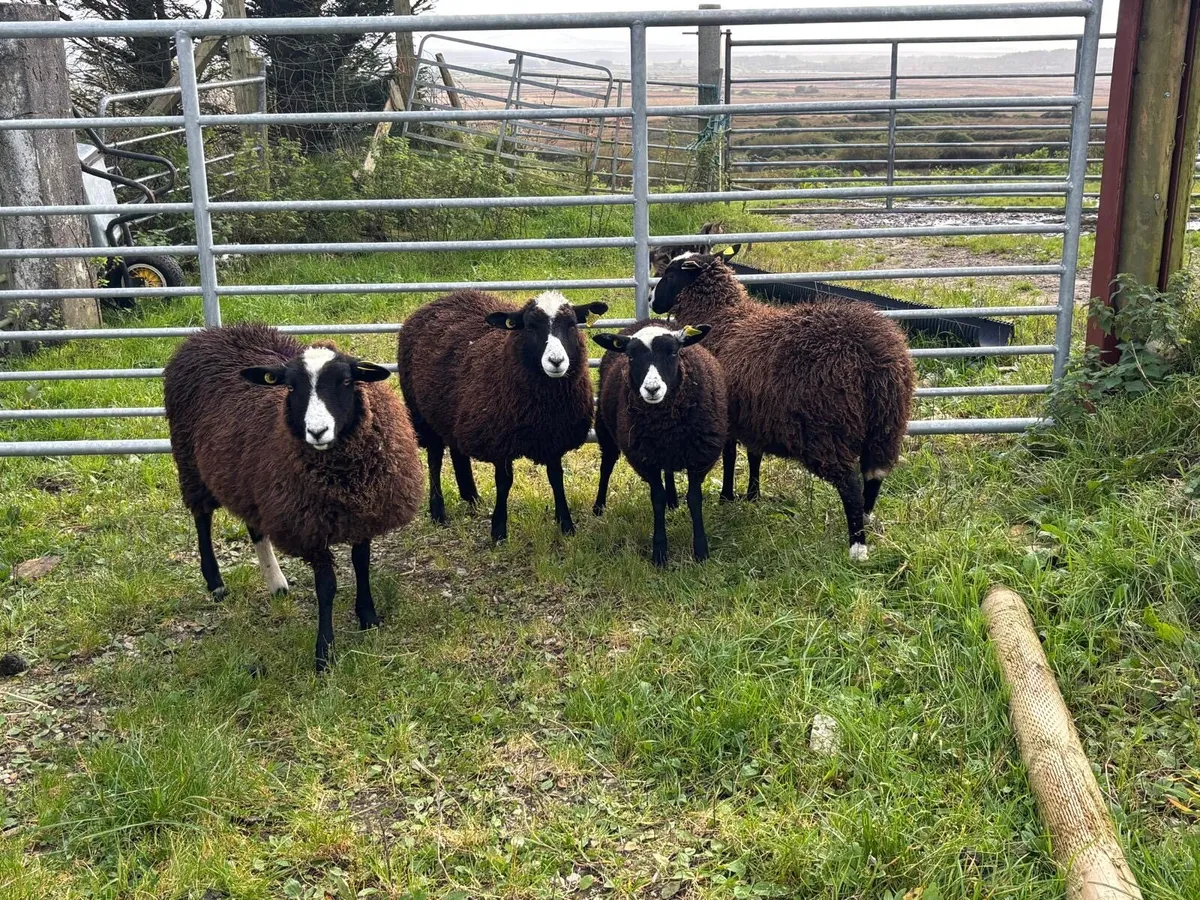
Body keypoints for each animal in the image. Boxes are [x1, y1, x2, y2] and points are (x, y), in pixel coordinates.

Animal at [163, 323, 422, 670]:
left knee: (254, 526)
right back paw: (215, 582)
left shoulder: (363, 511)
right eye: (290, 386)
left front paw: (368, 616)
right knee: (202, 518)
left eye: (345, 381)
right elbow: (326, 587)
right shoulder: (308, 526)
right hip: (190, 461)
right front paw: (324, 652)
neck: (343, 477)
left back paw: (276, 583)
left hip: (251, 481)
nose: (317, 432)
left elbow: (361, 563)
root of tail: (211, 332)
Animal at [397, 289, 607, 542]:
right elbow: (504, 482)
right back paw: (438, 510)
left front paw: (566, 524)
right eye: (530, 326)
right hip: (421, 412)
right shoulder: (499, 438)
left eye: (571, 324)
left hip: (452, 410)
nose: (556, 361)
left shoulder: (553, 437)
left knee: (457, 449)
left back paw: (471, 497)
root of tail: (442, 299)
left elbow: (556, 477)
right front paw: (498, 531)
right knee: (435, 458)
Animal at [592, 320, 727, 566]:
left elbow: (694, 499)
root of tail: (645, 321)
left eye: (673, 352)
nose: (652, 389)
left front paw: (701, 551)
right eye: (631, 357)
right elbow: (657, 499)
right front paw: (660, 553)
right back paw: (599, 507)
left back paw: (674, 500)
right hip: (605, 429)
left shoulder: (698, 457)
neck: (666, 426)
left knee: (669, 471)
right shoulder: (646, 459)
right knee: (606, 467)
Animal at [650, 248, 915, 561]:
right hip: (887, 422)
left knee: (850, 484)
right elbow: (753, 455)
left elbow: (730, 455)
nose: (652, 300)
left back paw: (857, 546)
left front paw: (727, 496)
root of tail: (871, 351)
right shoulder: (753, 412)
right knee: (874, 475)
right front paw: (752, 495)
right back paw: (865, 518)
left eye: (670, 274)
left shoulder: (726, 413)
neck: (722, 315)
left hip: (825, 429)